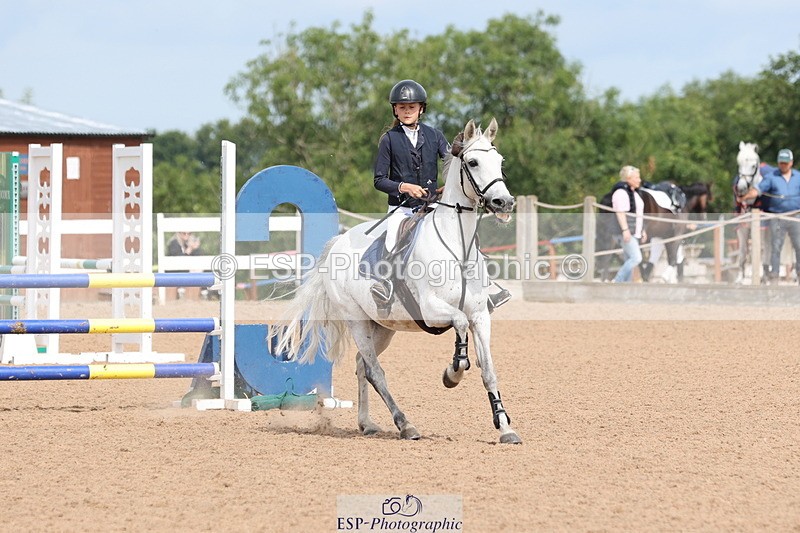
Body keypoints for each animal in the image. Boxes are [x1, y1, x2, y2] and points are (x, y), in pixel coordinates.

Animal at [269, 118, 521, 444]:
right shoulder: (432, 310)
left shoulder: (480, 315)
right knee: (375, 371)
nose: (504, 202)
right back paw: (405, 424)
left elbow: (488, 369)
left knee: (362, 365)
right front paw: (452, 373)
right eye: (473, 162)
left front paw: (505, 428)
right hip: (357, 321)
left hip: (382, 326)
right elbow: (459, 324)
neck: (456, 246)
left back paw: (367, 423)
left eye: (500, 162)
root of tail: (338, 242)